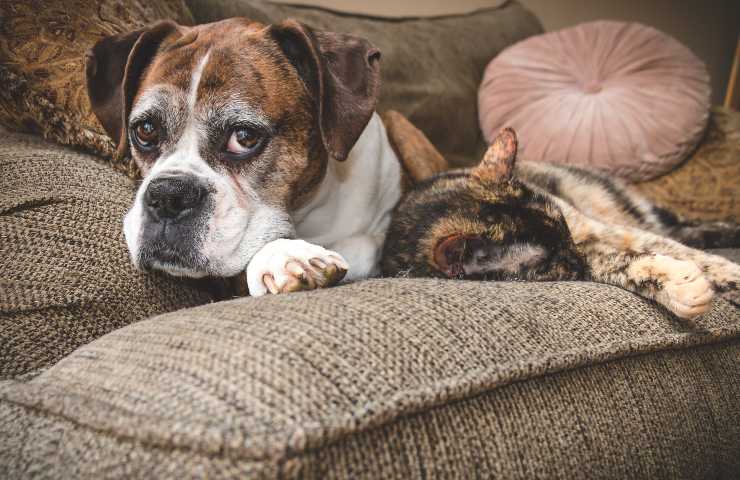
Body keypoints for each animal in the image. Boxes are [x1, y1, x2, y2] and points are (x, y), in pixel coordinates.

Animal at [382, 129, 740, 320]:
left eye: (564, 225)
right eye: (550, 263)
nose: (575, 255)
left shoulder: (604, 230)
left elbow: (685, 252)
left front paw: (728, 276)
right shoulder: (593, 257)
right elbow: (621, 264)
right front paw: (684, 286)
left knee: (683, 231)